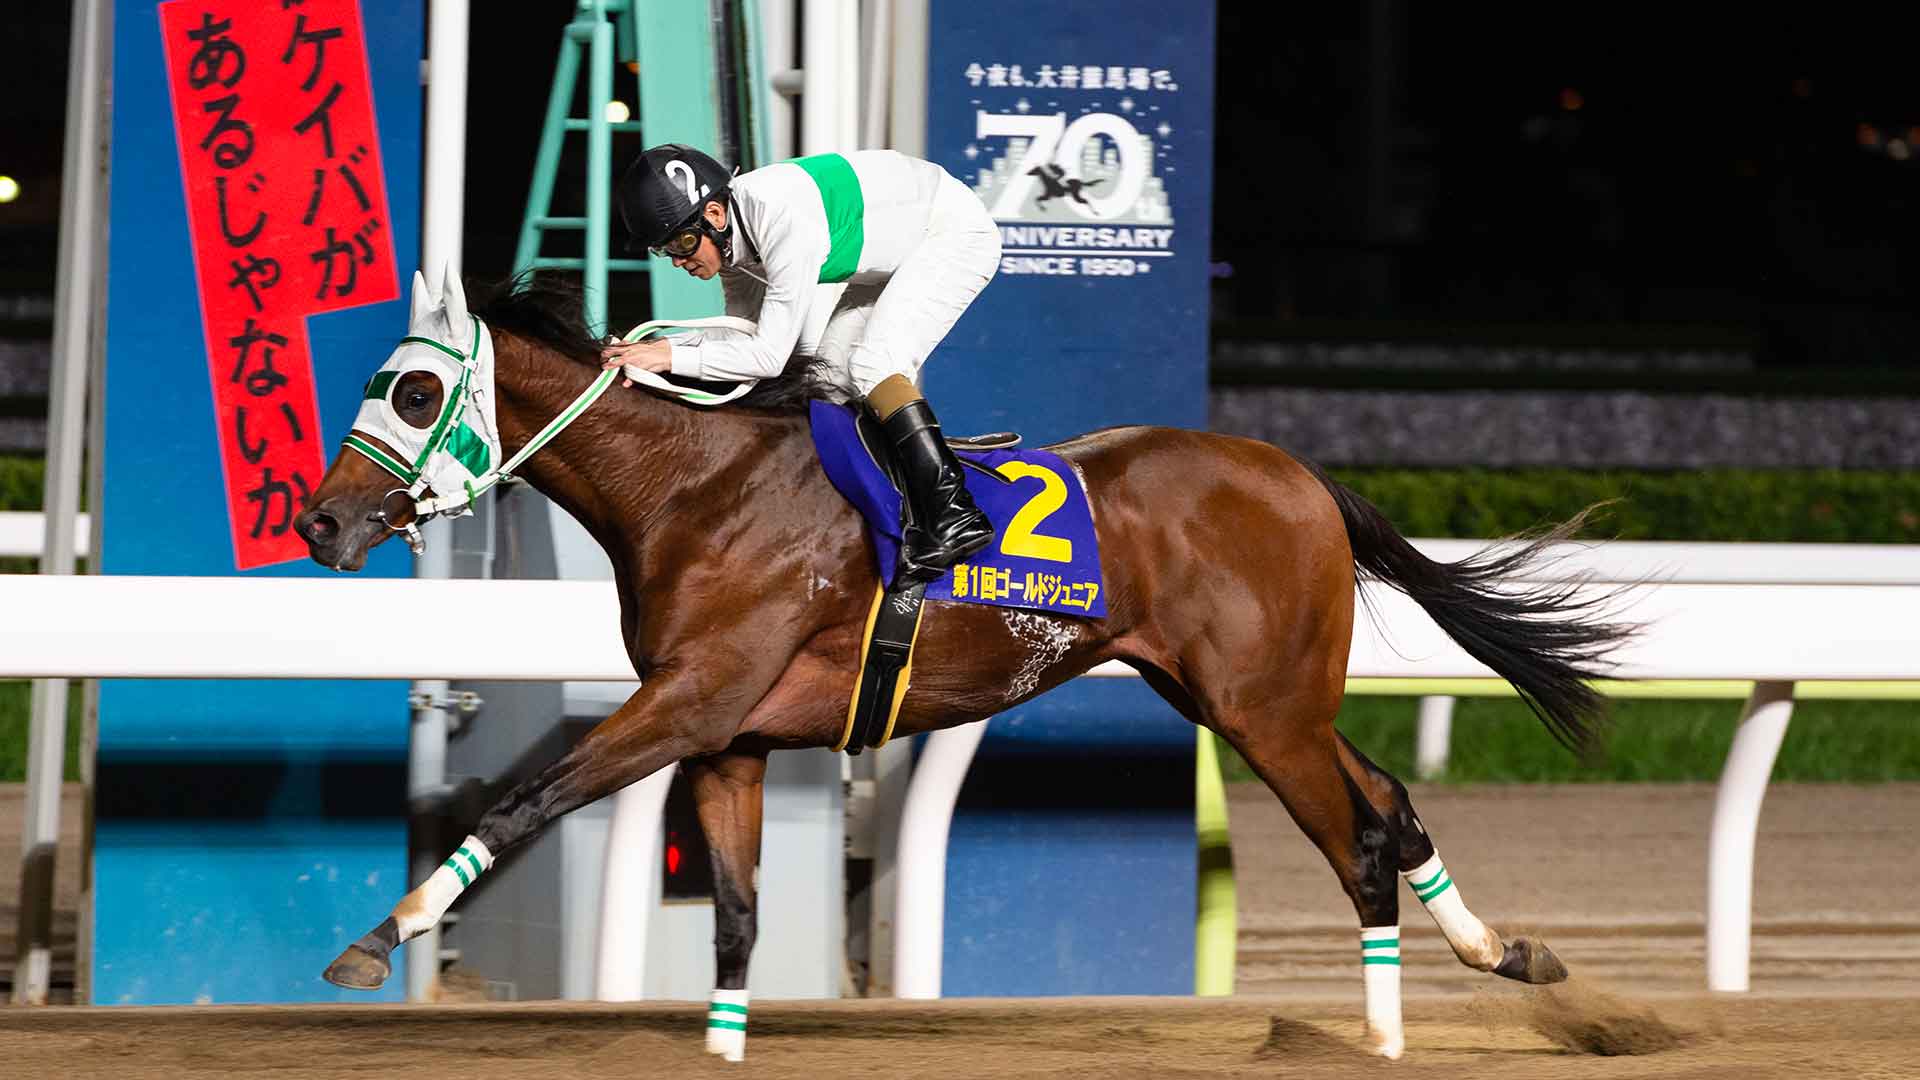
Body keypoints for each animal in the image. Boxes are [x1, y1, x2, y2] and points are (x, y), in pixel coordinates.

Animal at [296, 269, 1629, 1060]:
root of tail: (1300, 477)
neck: (691, 489)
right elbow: (734, 912)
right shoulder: (727, 734)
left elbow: (525, 799)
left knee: (1358, 843)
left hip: (1265, 713)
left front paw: (378, 939)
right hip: (1248, 697)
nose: (320, 520)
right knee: (1392, 806)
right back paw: (1505, 952)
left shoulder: (685, 701)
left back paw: (1392, 1034)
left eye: (412, 390)